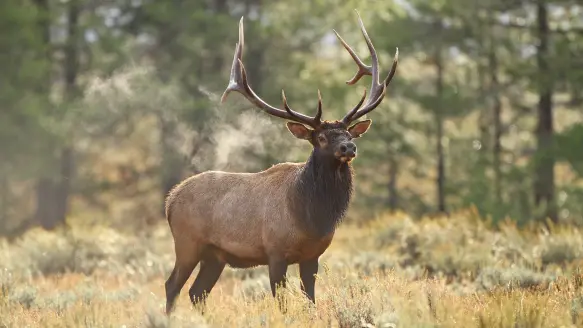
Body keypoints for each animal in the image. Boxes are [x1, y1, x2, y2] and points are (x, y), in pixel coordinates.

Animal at [167, 9, 400, 314]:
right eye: (321, 138)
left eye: (349, 133)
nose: (349, 147)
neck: (312, 217)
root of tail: (170, 200)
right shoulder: (275, 251)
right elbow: (281, 302)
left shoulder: (312, 255)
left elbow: (310, 299)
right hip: (187, 243)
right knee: (173, 286)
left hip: (215, 256)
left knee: (197, 292)